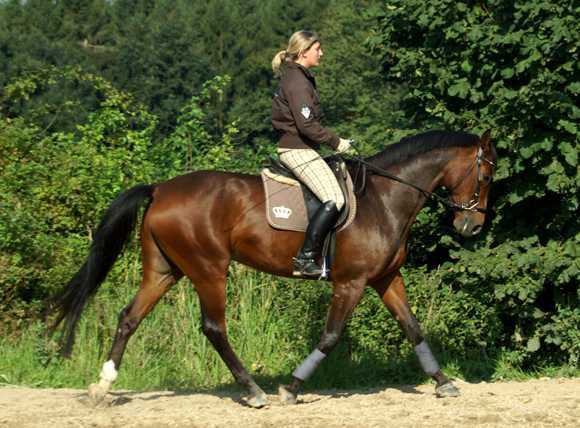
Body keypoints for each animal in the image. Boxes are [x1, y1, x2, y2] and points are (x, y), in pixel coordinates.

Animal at [49, 130, 496, 408]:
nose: (471, 226)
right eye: (487, 175)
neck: (384, 199)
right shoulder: (350, 283)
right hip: (209, 269)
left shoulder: (386, 279)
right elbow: (331, 335)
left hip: (164, 270)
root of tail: (160, 189)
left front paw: (443, 382)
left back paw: (102, 386)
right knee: (214, 328)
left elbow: (412, 327)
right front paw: (292, 387)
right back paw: (253, 390)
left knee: (129, 317)